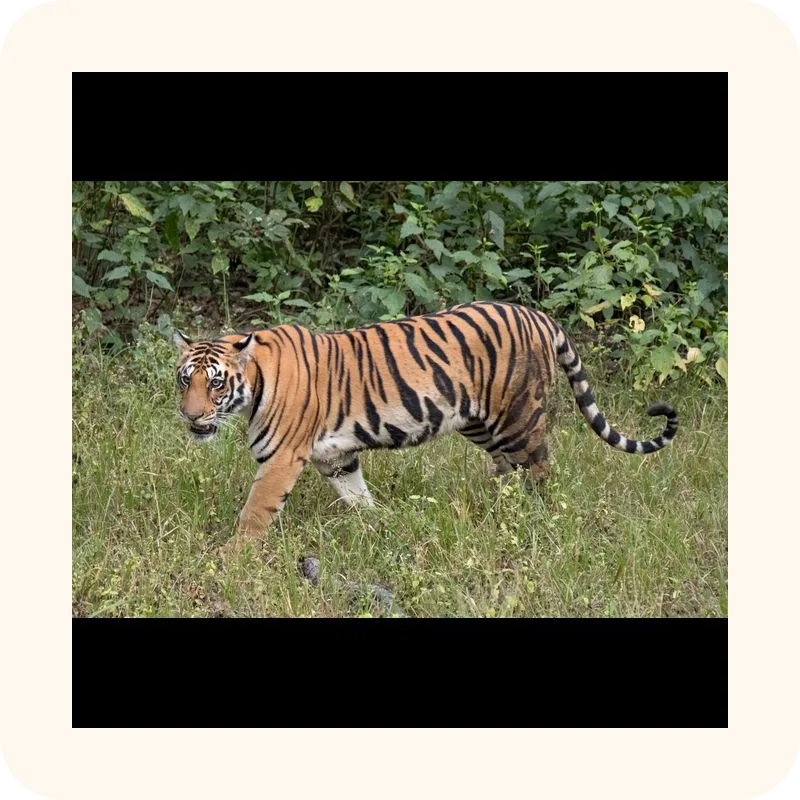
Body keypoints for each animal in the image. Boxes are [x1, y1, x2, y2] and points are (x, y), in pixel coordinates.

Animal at [173, 301, 678, 546]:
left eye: (216, 383)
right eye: (184, 379)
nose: (191, 415)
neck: (254, 384)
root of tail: (539, 316)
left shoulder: (280, 459)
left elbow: (255, 512)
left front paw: (233, 557)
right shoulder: (336, 457)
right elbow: (357, 496)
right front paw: (380, 524)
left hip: (518, 416)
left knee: (539, 468)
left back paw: (533, 516)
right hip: (478, 421)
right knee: (506, 468)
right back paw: (495, 507)